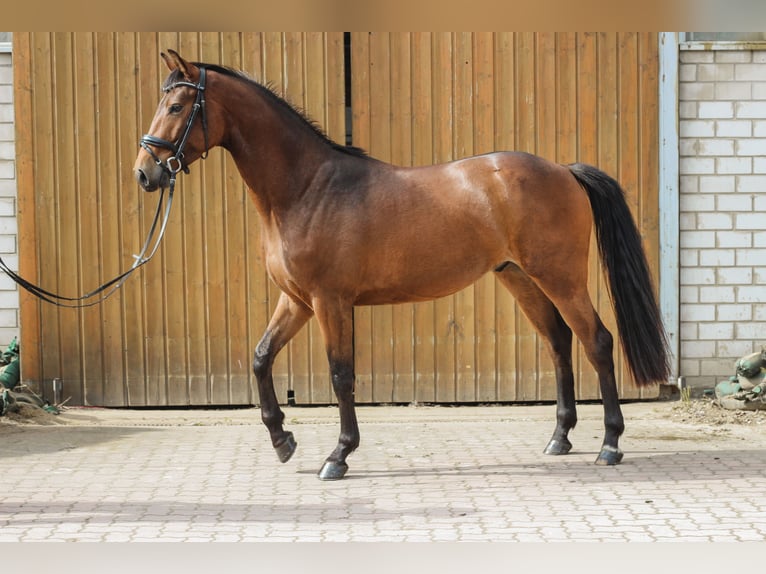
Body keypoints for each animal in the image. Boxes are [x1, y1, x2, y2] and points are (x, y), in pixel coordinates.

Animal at [136, 50, 672, 482]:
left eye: (177, 107)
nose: (145, 173)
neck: (308, 187)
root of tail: (564, 171)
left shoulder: (330, 302)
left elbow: (341, 376)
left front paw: (338, 456)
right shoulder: (297, 301)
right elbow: (261, 357)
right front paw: (283, 441)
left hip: (560, 277)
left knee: (597, 341)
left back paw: (610, 445)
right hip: (520, 278)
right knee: (559, 341)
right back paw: (560, 438)